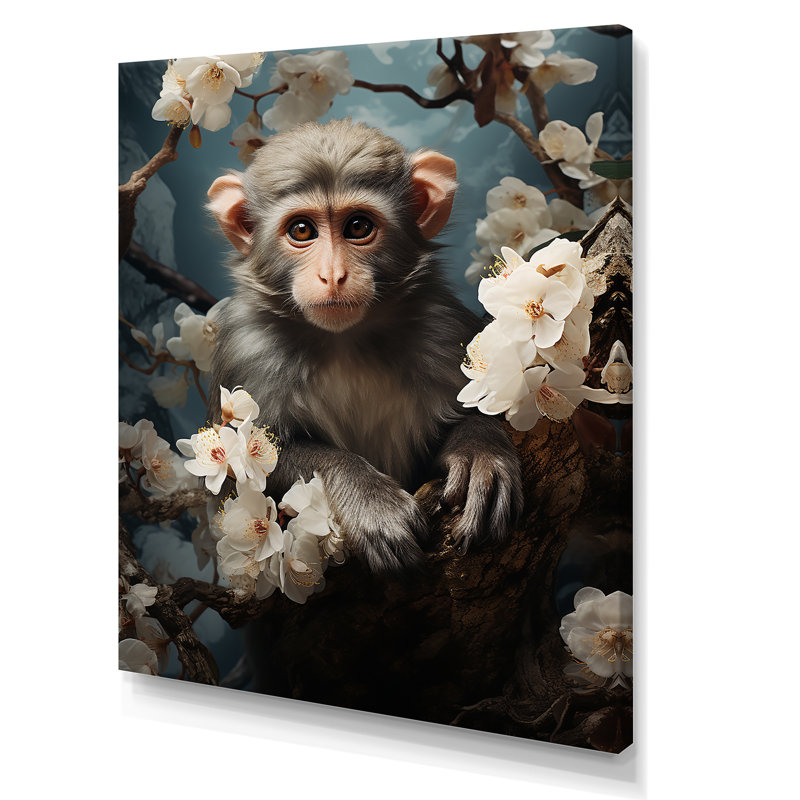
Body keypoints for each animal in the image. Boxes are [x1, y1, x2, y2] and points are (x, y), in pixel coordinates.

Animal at [206, 119, 523, 573]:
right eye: (301, 230)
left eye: (358, 227)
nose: (332, 275)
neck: (345, 341)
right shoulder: (247, 353)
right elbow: (249, 467)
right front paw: (370, 500)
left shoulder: (443, 331)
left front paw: (480, 450)